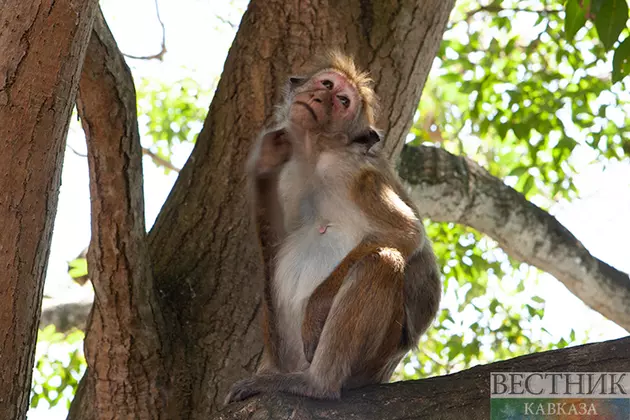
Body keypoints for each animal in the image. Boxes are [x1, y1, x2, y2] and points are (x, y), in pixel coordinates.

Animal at [225, 52, 442, 404]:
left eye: (343, 101)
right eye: (326, 84)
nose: (318, 97)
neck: (317, 153)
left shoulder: (356, 175)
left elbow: (407, 234)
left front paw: (315, 312)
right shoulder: (290, 171)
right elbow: (277, 238)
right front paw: (265, 161)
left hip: (371, 362)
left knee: (381, 261)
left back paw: (315, 384)